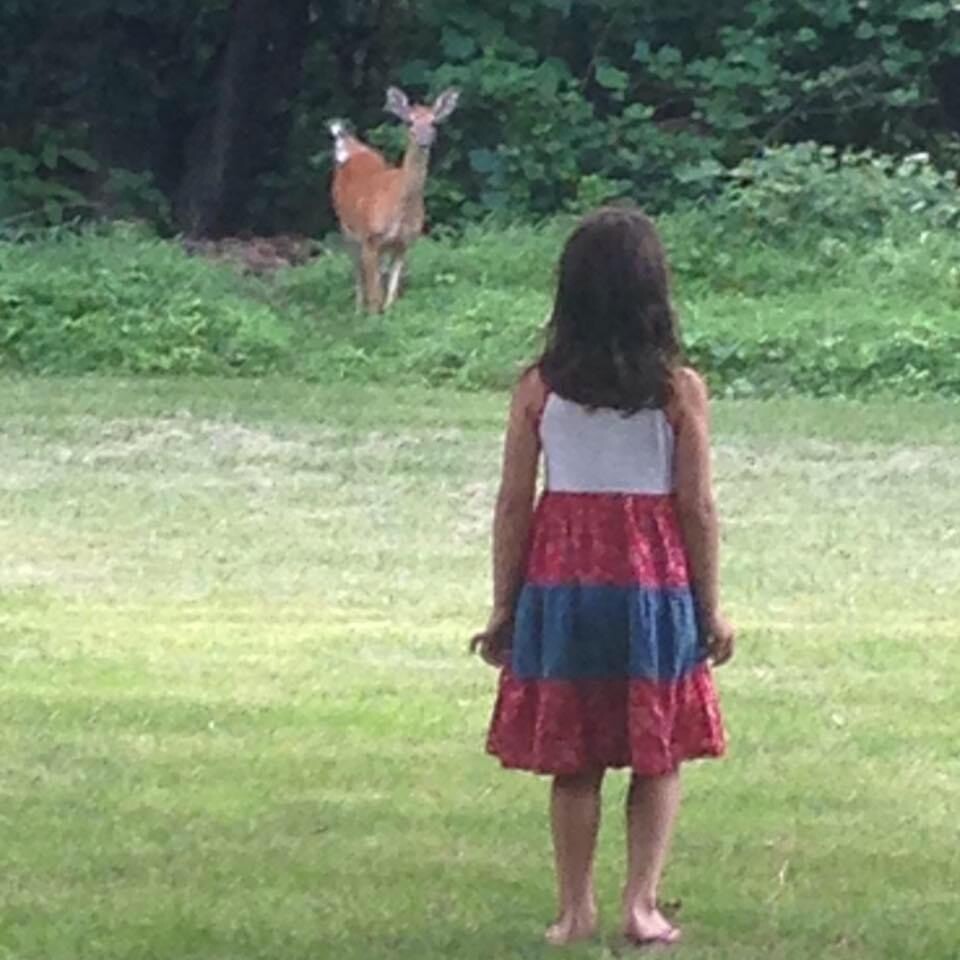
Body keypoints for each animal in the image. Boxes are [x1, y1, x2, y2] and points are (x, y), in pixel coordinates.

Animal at [328, 86, 460, 313]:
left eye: (434, 122)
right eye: (410, 122)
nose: (424, 142)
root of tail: (354, 148)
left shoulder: (404, 242)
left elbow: (391, 290)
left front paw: (388, 313)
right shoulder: (370, 237)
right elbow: (374, 295)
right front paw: (372, 316)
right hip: (346, 226)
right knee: (357, 270)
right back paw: (358, 309)